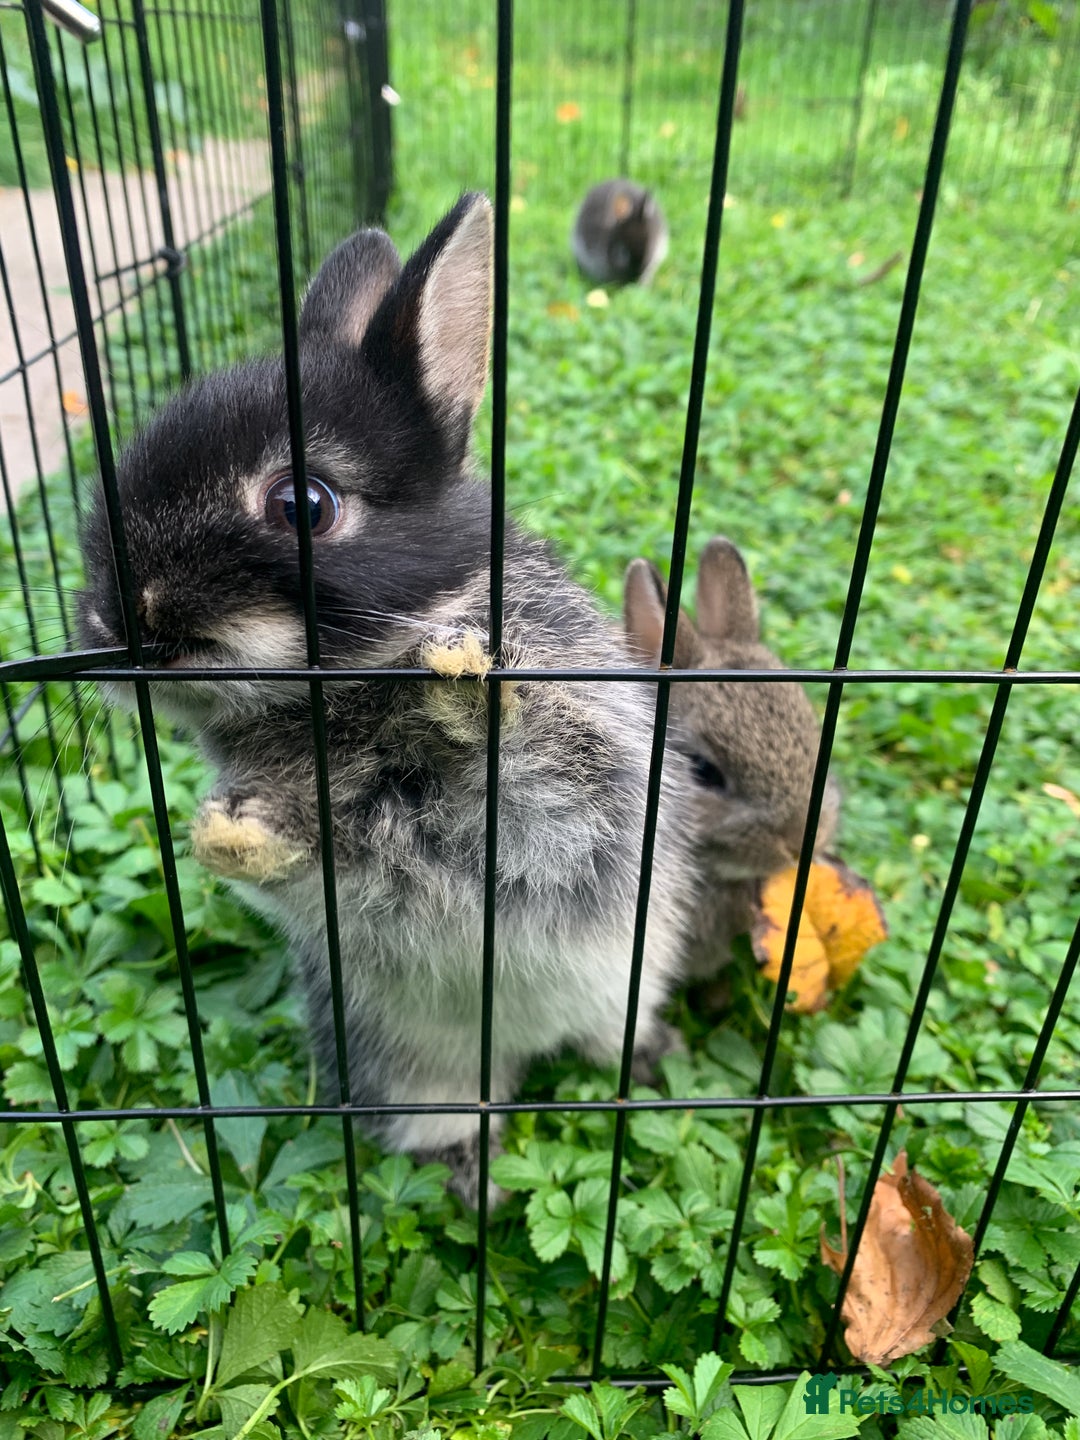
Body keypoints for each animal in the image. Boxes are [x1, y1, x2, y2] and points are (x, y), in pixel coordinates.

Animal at [78, 193, 696, 1207]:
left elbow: (542, 761)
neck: (352, 690)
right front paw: (229, 835)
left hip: (631, 976)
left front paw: (465, 680)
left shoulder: (590, 777)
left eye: (305, 505)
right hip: (412, 1066)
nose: (110, 619)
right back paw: (475, 1179)